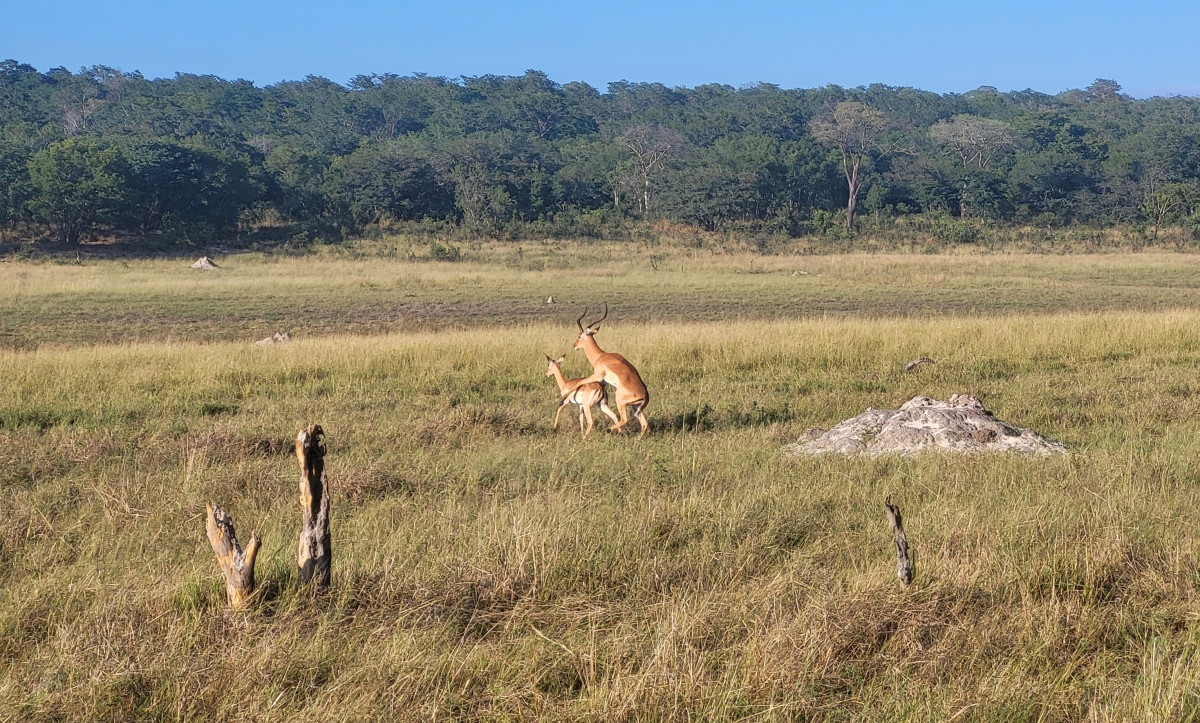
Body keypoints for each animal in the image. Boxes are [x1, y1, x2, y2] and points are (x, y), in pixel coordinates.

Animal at [563, 304, 650, 438]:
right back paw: (636, 439)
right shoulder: (603, 382)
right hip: (636, 408)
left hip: (620, 401)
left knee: (624, 419)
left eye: (579, 336)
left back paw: (609, 429)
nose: (575, 346)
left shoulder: (597, 376)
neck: (600, 356)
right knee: (644, 424)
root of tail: (645, 395)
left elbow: (580, 382)